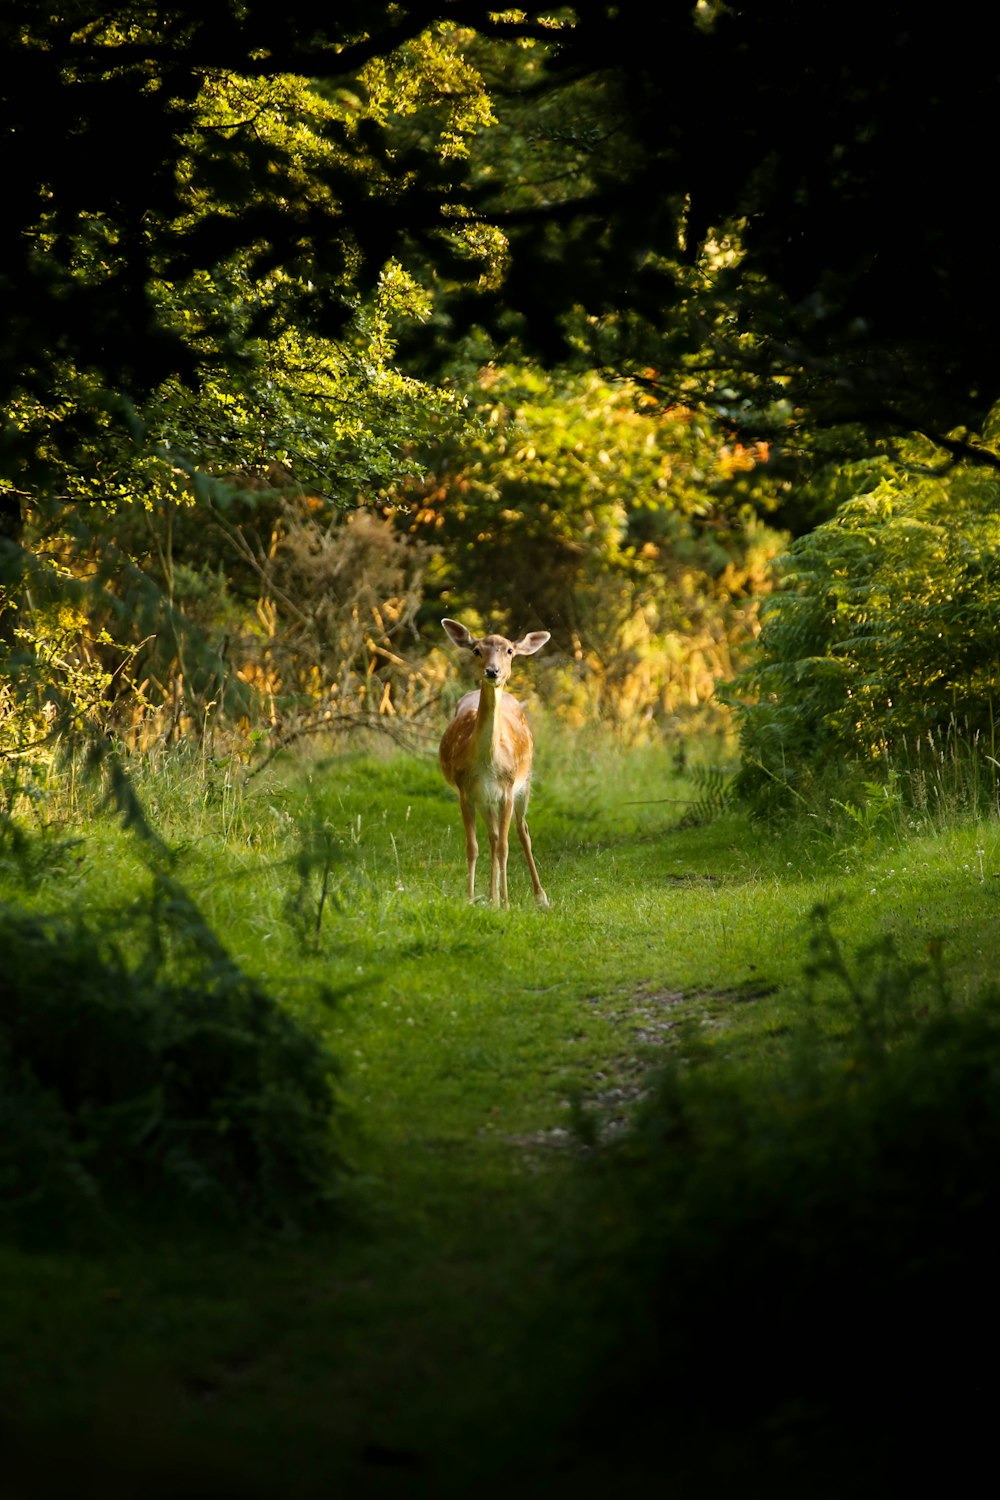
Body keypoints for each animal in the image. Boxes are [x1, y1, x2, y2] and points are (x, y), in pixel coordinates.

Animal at [437, 615, 551, 906]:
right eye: (477, 650)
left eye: (509, 650)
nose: (492, 671)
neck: (488, 764)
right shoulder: (467, 791)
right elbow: (473, 847)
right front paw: (472, 899)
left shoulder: (507, 790)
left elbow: (504, 848)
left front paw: (508, 904)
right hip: (486, 799)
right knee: (493, 836)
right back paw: (491, 897)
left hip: (525, 782)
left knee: (522, 832)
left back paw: (540, 897)